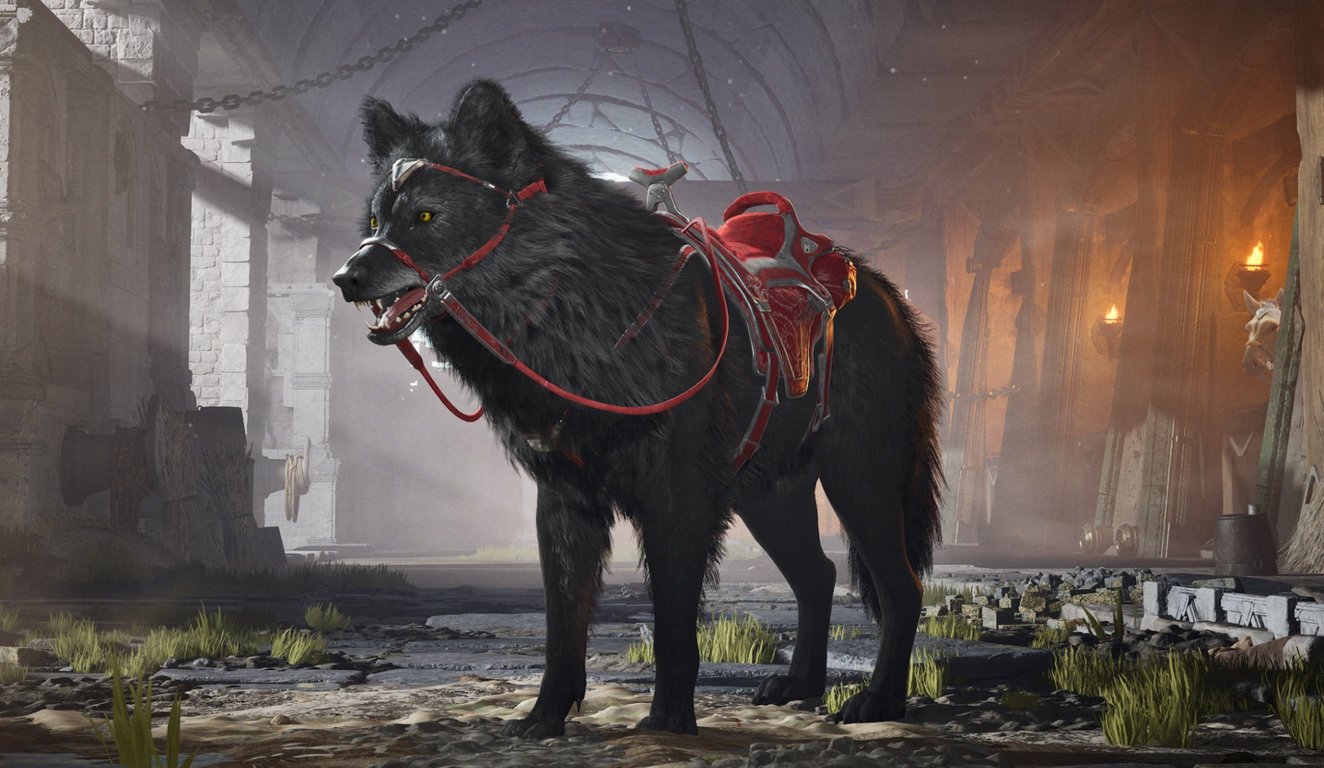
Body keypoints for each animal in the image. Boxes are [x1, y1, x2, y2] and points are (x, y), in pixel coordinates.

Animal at [332, 79, 943, 737]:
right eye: (376, 218)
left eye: (425, 216)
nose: (345, 277)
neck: (579, 312)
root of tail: (881, 290)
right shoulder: (564, 501)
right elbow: (562, 627)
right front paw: (543, 720)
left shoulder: (677, 499)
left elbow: (674, 623)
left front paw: (667, 724)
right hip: (770, 497)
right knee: (818, 577)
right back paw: (800, 687)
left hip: (861, 478)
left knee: (903, 587)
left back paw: (878, 702)